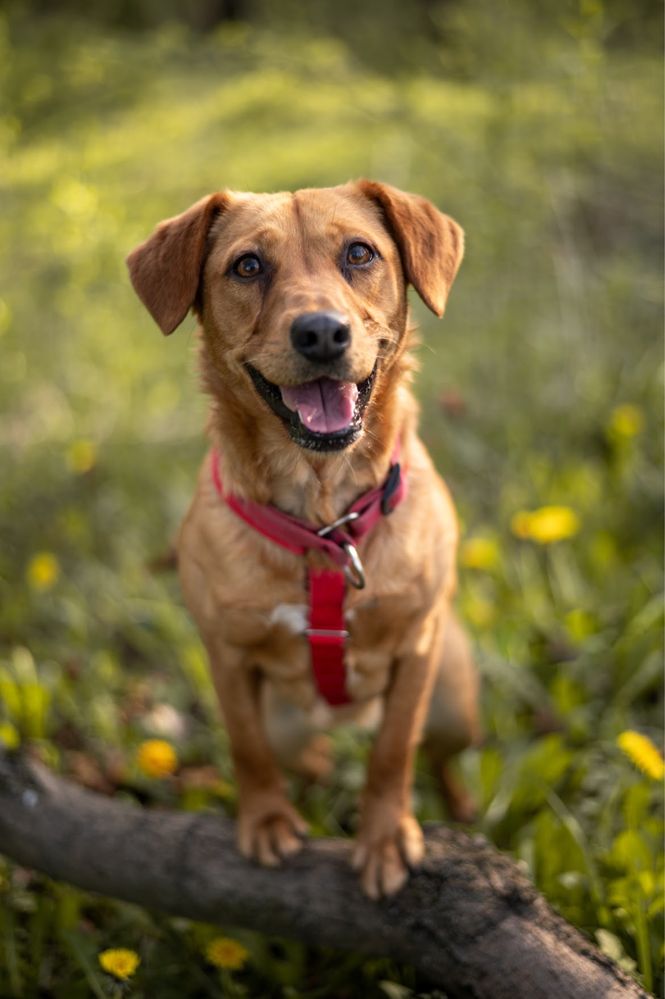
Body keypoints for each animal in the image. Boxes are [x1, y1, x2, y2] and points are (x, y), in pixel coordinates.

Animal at [126, 178, 478, 900]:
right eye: (247, 266)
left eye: (359, 253)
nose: (320, 332)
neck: (323, 525)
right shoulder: (228, 656)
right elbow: (247, 748)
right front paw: (264, 819)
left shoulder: (416, 650)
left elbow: (393, 752)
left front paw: (384, 835)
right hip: (291, 721)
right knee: (300, 754)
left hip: (455, 700)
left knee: (435, 755)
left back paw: (458, 807)